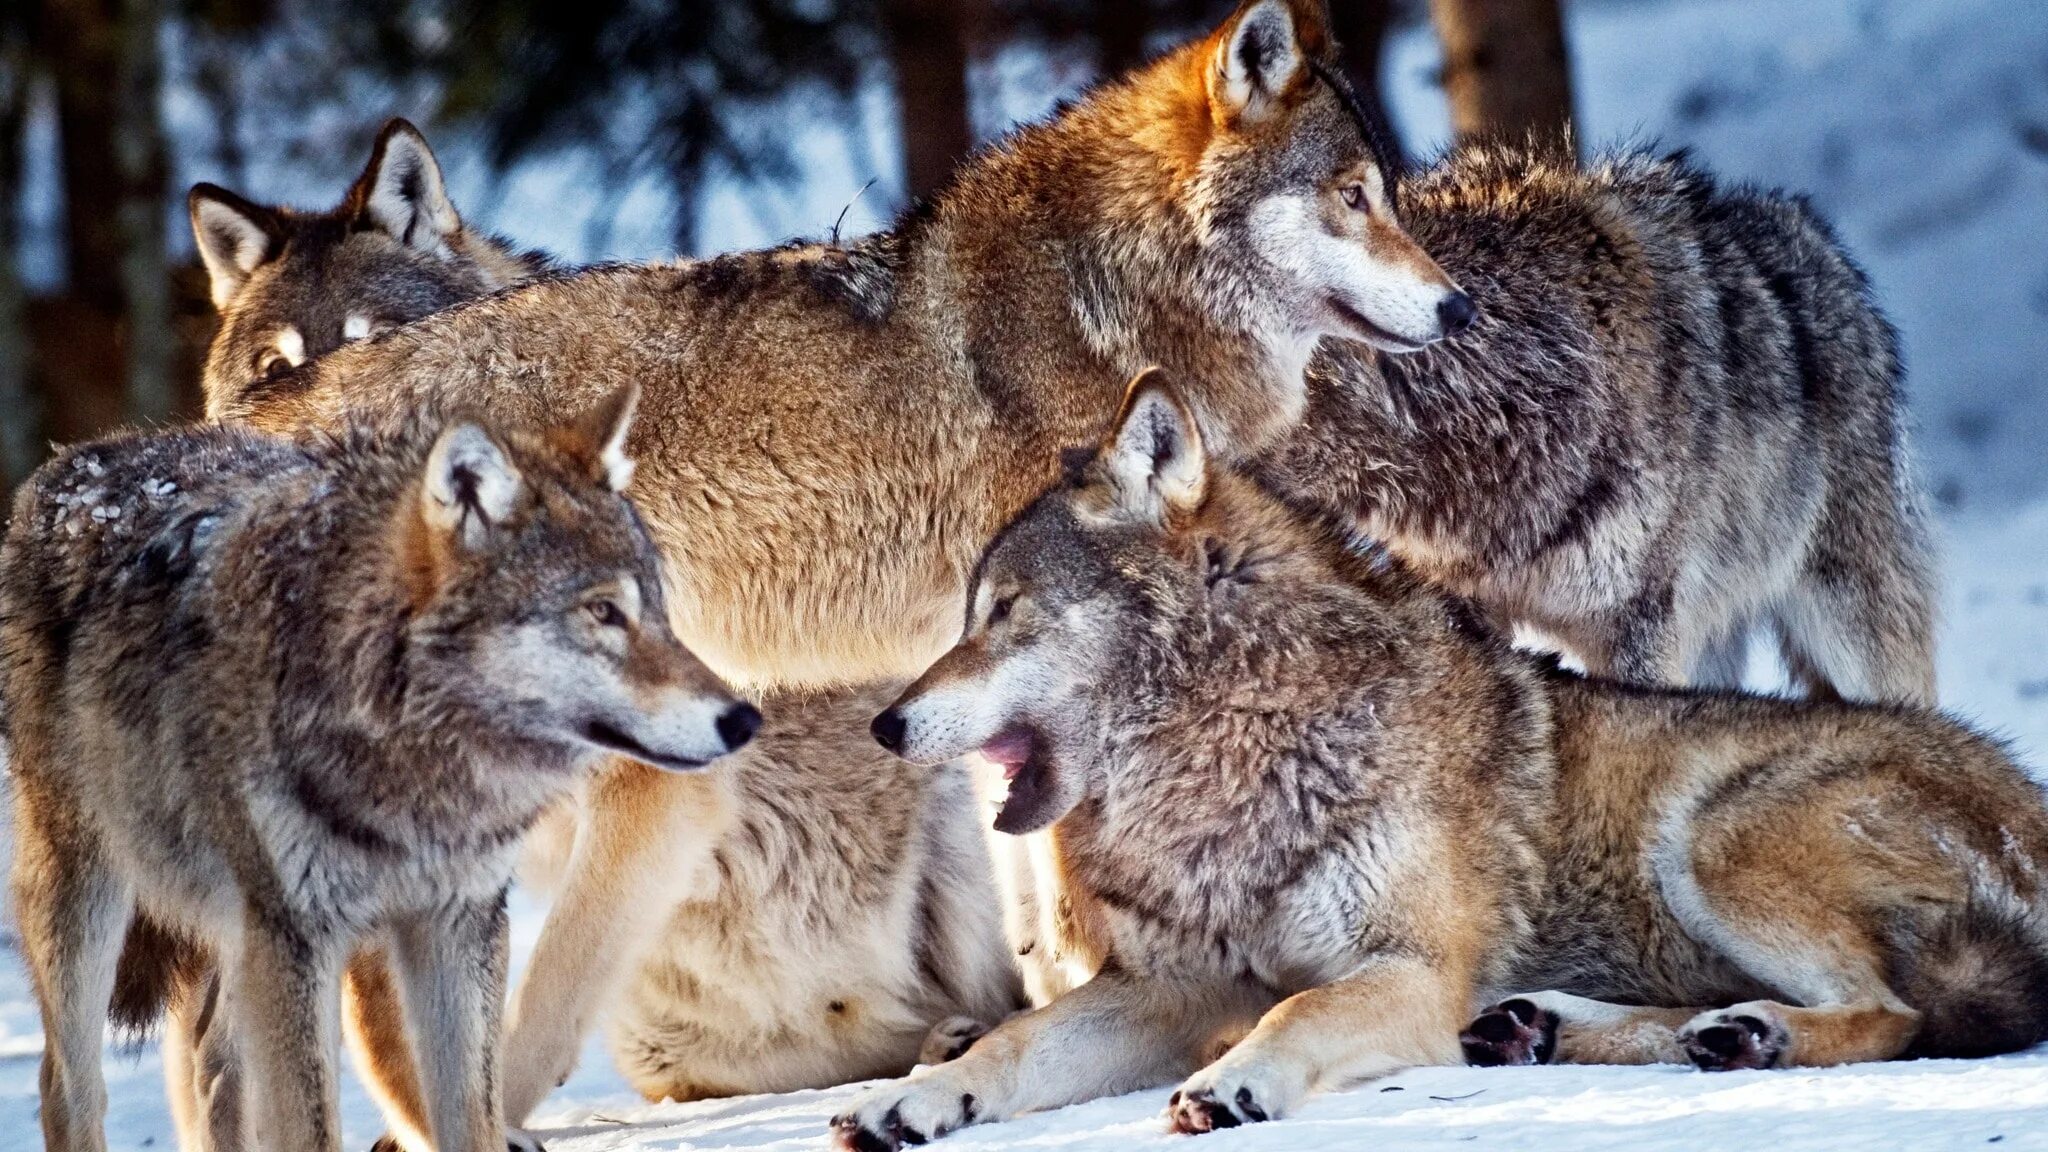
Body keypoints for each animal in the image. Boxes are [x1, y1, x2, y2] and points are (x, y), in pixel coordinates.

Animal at [4, 387, 757, 1147]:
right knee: (65, 1087)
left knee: (212, 1063)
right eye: (602, 611)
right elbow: (313, 1129)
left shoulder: (458, 924)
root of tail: (75, 457)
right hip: (93, 904)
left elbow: (471, 1119)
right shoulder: (296, 939)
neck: (411, 771)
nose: (744, 719)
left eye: (658, 611)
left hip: (236, 941)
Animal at [831, 375, 2048, 1139]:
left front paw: (1235, 1083)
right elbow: (1017, 1040)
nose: (886, 725)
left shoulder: (1408, 970)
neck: (1236, 759)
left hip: (1711, 839)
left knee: (1893, 1014)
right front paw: (918, 1098)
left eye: (1003, 613)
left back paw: (1748, 1036)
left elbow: (1296, 1013)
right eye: (971, 613)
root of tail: (2027, 801)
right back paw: (1562, 1029)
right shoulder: (1171, 987)